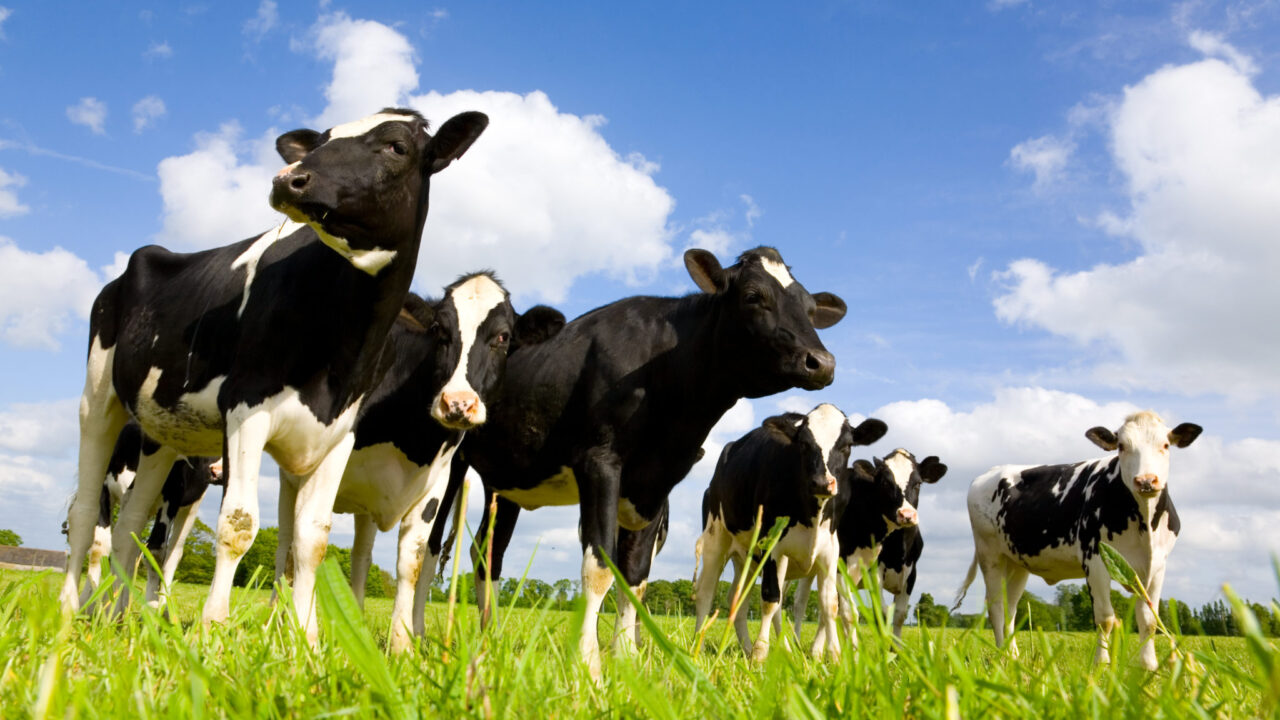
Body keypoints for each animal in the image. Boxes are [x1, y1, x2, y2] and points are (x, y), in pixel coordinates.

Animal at [60, 106, 488, 638]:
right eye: (321, 141)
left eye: (397, 147)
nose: (289, 178)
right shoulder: (246, 409)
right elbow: (238, 525)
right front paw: (212, 629)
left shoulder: (339, 433)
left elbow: (312, 539)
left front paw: (307, 640)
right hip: (99, 398)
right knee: (85, 514)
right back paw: (68, 611)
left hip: (161, 434)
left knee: (131, 527)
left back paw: (114, 617)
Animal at [445, 244, 844, 671]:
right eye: (754, 296)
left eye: (809, 307)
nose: (822, 362)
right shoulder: (600, 463)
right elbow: (599, 566)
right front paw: (589, 661)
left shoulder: (656, 484)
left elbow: (634, 575)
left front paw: (627, 656)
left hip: (507, 486)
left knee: (488, 553)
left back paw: (488, 636)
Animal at [691, 399, 890, 661]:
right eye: (804, 444)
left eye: (847, 445)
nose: (822, 483)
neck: (812, 513)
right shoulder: (771, 546)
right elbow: (770, 600)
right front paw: (760, 654)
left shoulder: (830, 550)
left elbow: (830, 604)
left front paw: (836, 657)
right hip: (717, 540)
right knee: (706, 593)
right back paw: (698, 647)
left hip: (747, 559)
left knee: (737, 598)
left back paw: (747, 647)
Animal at [957, 412, 1203, 671]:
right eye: (1122, 446)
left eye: (1165, 445)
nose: (1146, 481)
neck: (1144, 527)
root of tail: (989, 472)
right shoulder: (1095, 559)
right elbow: (1105, 618)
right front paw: (1102, 665)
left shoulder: (1156, 567)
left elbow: (1149, 619)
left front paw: (1149, 666)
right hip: (990, 555)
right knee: (996, 607)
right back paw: (1002, 658)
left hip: (1016, 562)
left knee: (1010, 609)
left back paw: (1012, 656)